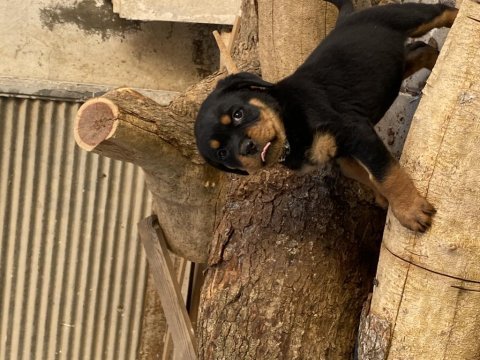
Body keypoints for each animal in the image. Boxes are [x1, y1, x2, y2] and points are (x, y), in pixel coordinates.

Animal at [194, 1, 458, 232]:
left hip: (408, 17)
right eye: (222, 153)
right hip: (394, 63)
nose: (247, 147)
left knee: (441, 13)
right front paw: (386, 201)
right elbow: (368, 176)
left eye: (238, 114)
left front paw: (410, 211)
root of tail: (347, 17)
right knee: (421, 50)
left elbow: (385, 173)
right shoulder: (343, 157)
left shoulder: (355, 131)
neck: (288, 118)